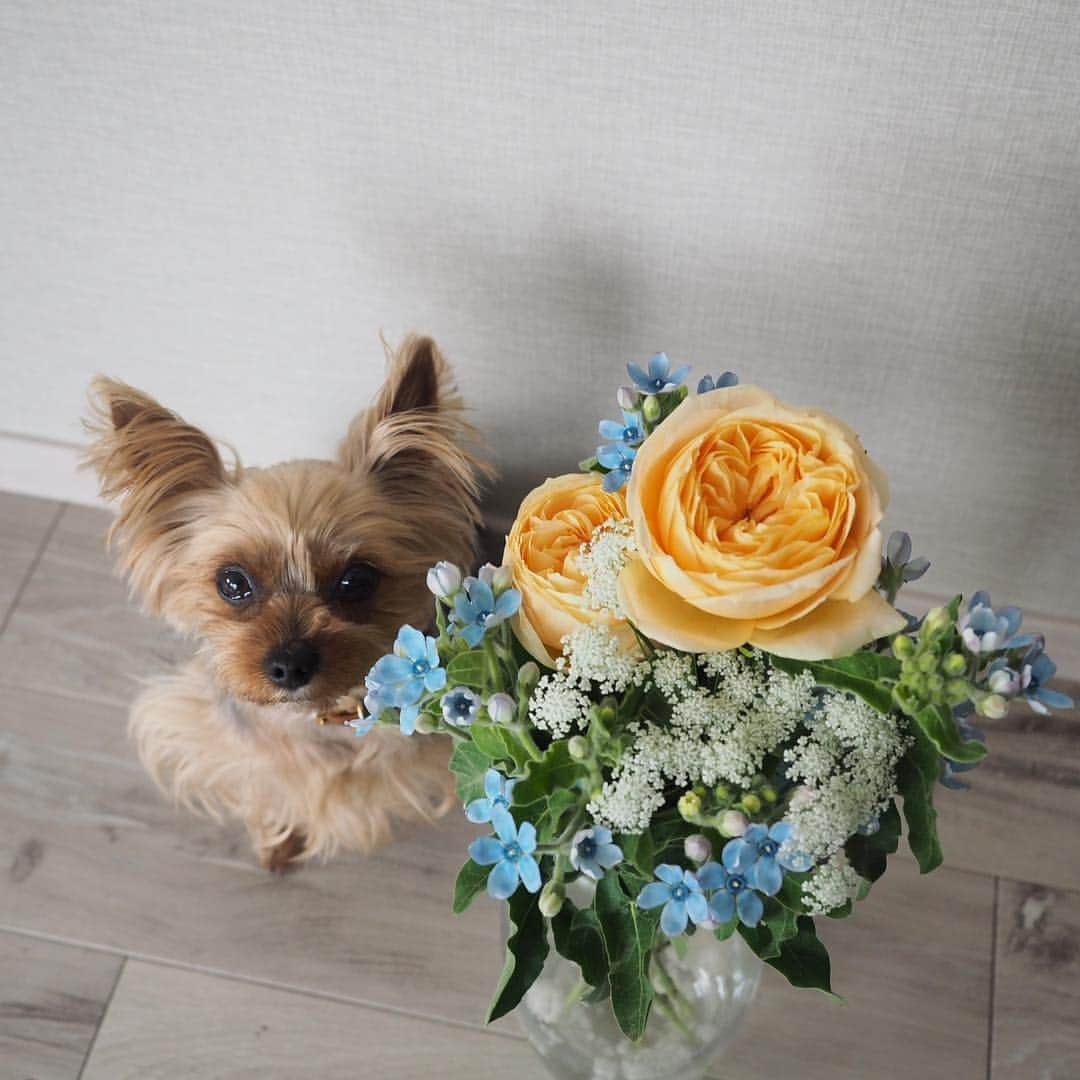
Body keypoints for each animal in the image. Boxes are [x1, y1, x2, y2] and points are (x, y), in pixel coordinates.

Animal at [86, 334, 483, 868]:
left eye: (357, 581)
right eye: (232, 583)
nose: (290, 665)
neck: (316, 719)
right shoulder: (236, 753)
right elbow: (268, 790)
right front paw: (275, 841)